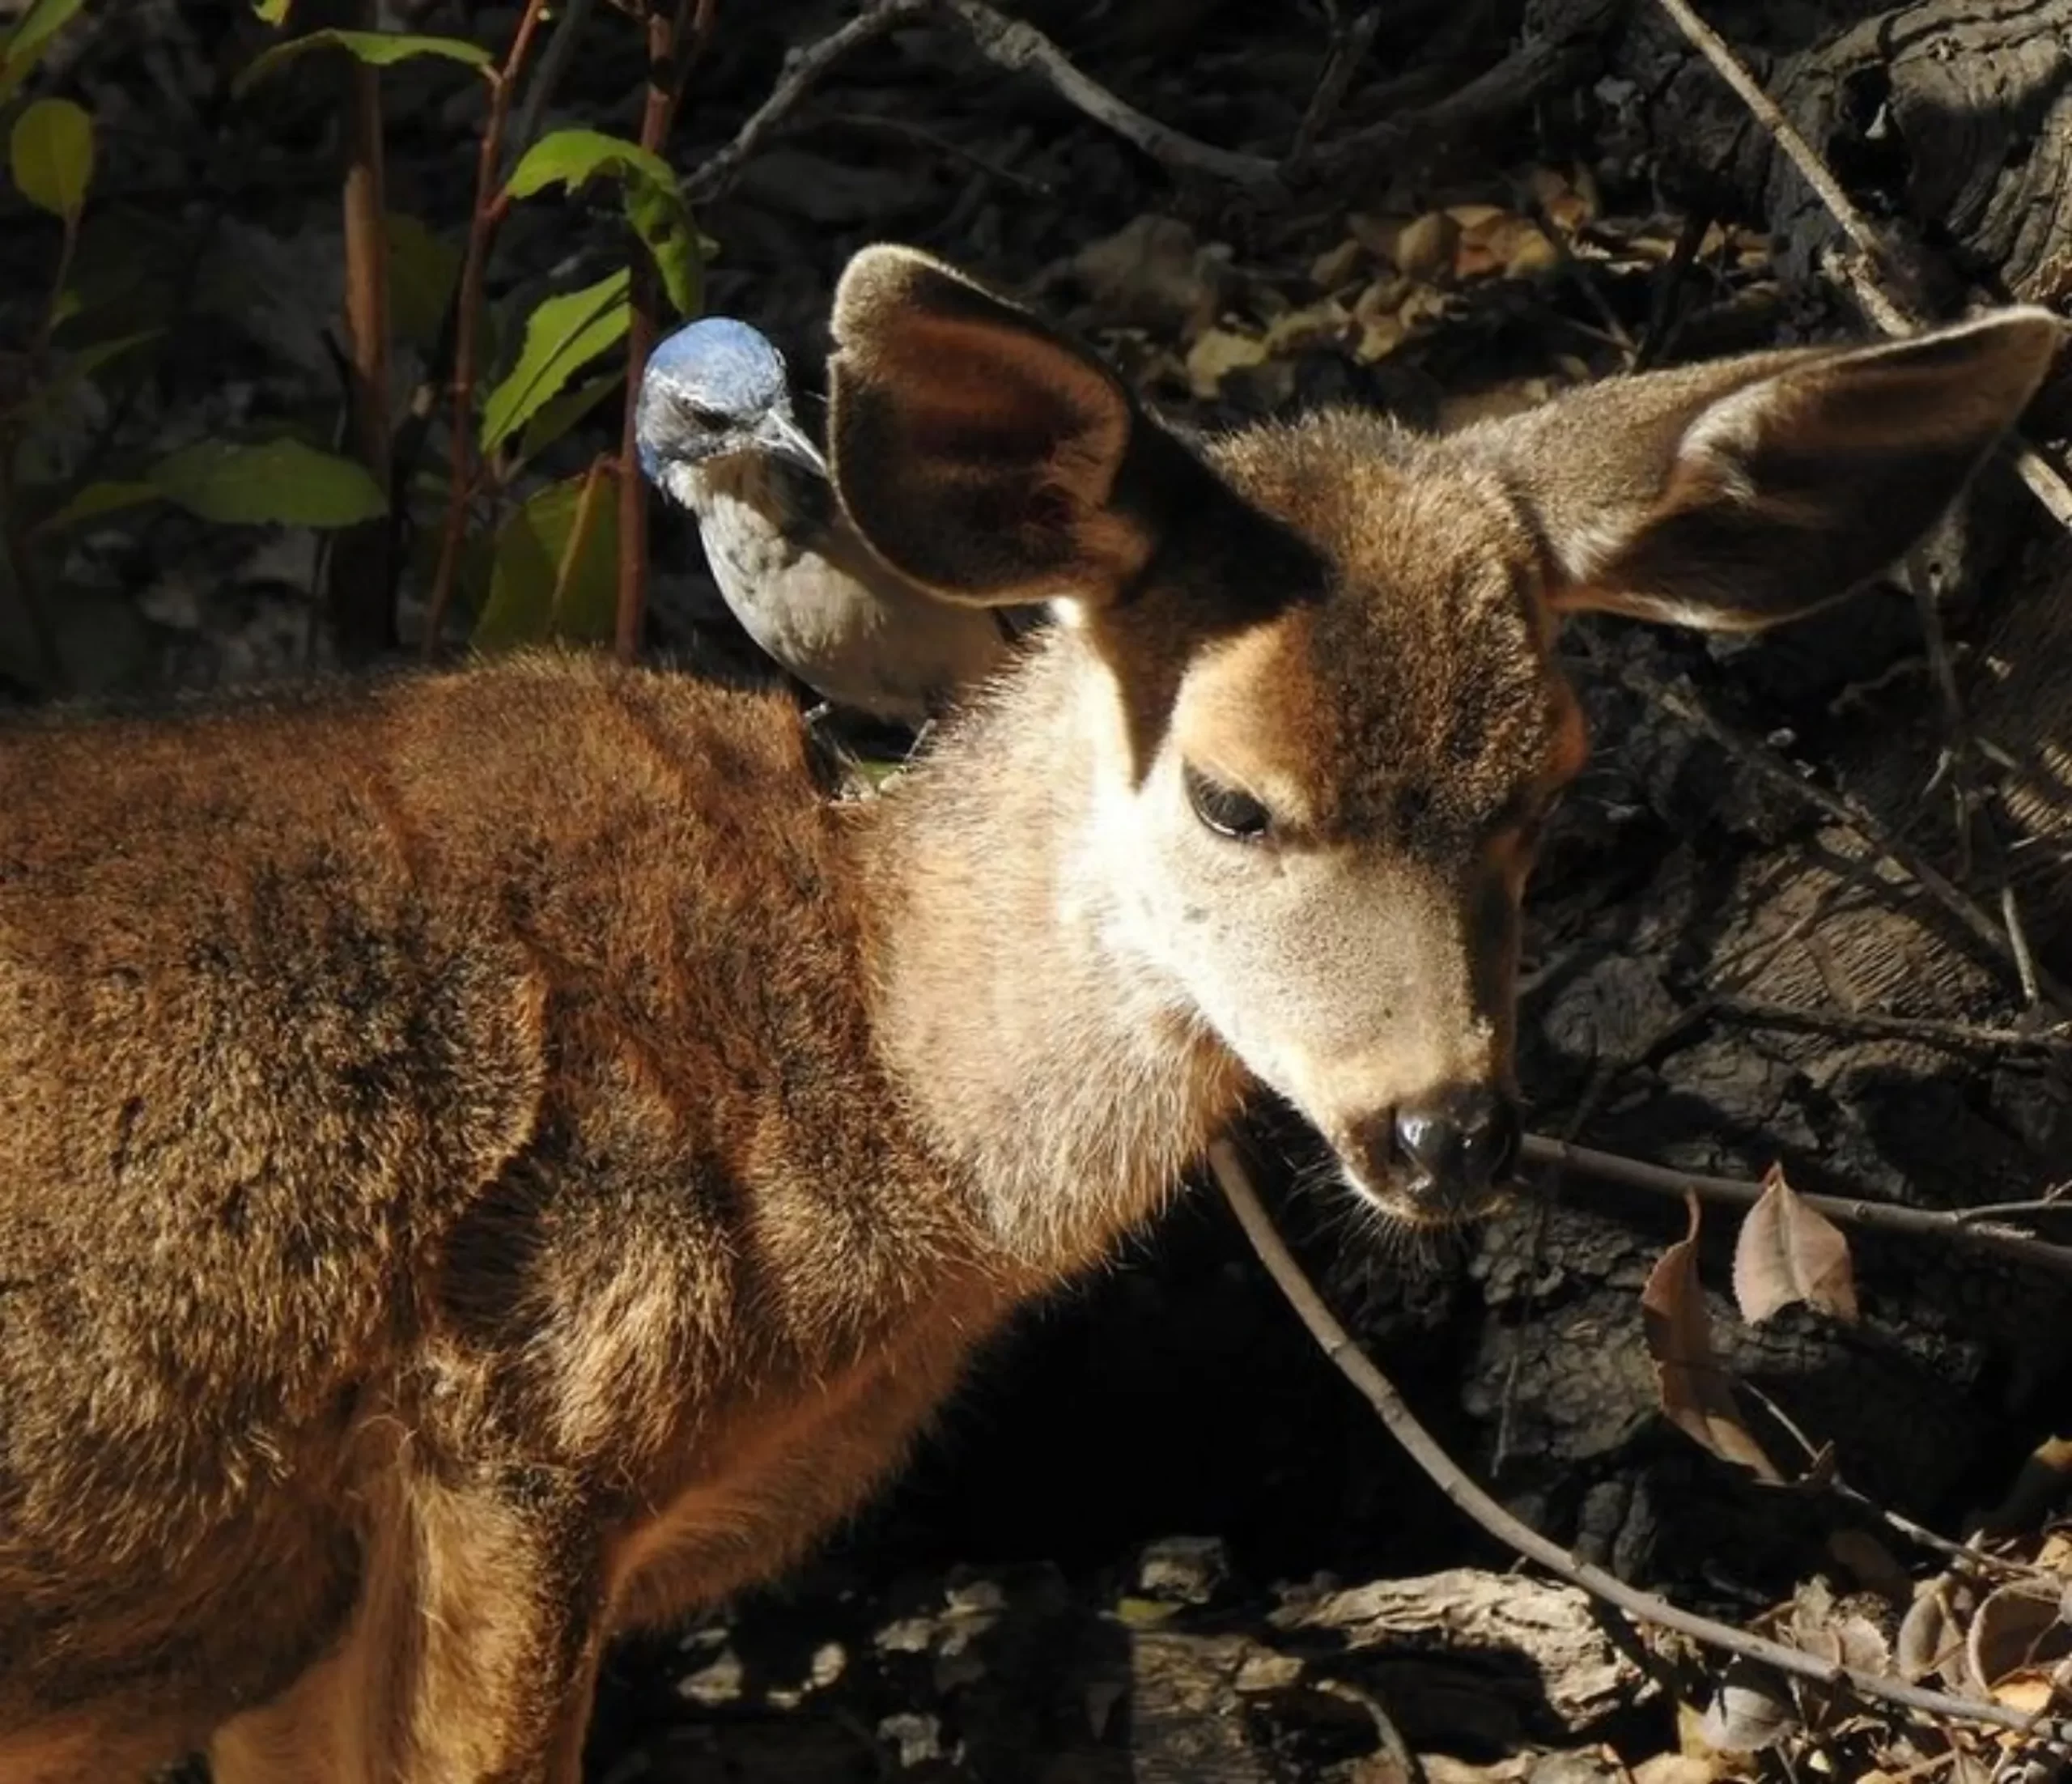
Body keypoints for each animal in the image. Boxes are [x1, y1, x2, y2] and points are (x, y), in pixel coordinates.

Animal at [0, 240, 2055, 1782]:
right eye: (1230, 796)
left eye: (1540, 781)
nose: (1438, 1127)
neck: (871, 1076)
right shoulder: (521, 1434)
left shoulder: (313, 1607)